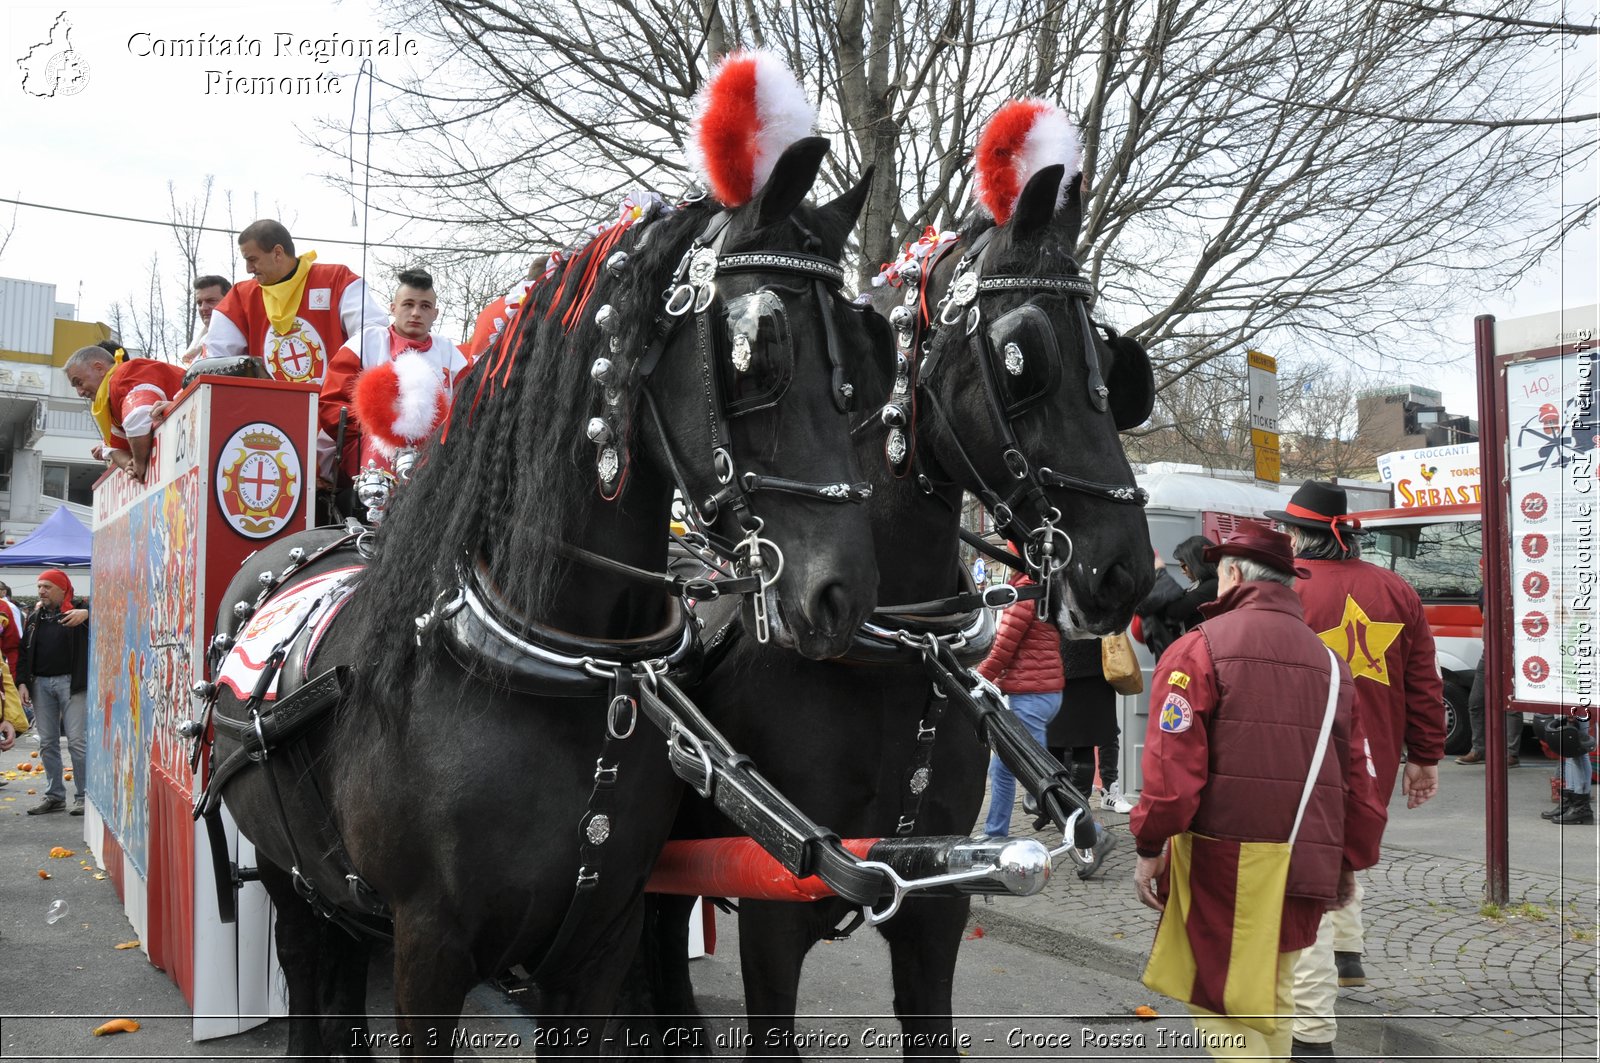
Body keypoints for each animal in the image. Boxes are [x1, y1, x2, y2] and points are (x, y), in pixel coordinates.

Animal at [200, 136, 889, 1056]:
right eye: (760, 346)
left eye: (868, 349)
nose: (842, 591)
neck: (569, 668)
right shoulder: (430, 948)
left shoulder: (600, 941)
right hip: (286, 869)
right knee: (312, 975)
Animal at [617, 161, 1158, 1056]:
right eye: (1023, 357)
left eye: (1112, 366)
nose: (1127, 569)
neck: (889, 657)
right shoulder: (771, 909)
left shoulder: (939, 904)